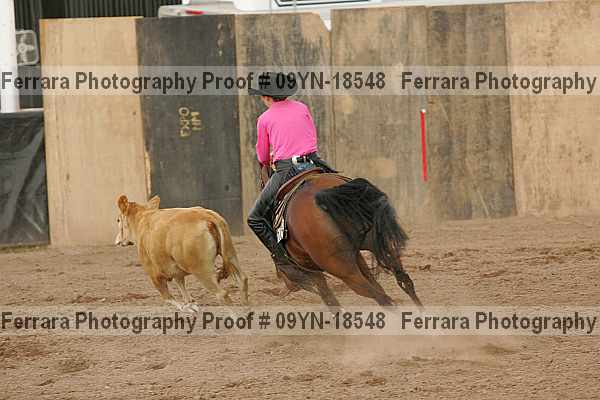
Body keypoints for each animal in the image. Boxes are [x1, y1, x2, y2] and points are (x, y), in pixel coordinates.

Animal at [115, 195, 248, 310]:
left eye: (118, 220)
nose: (117, 240)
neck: (142, 220)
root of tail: (206, 216)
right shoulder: (176, 272)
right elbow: (184, 291)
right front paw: (191, 305)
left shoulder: (154, 275)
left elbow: (168, 298)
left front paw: (188, 308)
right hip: (230, 255)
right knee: (242, 281)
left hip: (201, 270)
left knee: (222, 294)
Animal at [259, 165, 423, 309]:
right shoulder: (357, 257)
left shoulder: (314, 274)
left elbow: (331, 302)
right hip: (379, 244)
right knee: (404, 281)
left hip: (342, 269)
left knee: (380, 297)